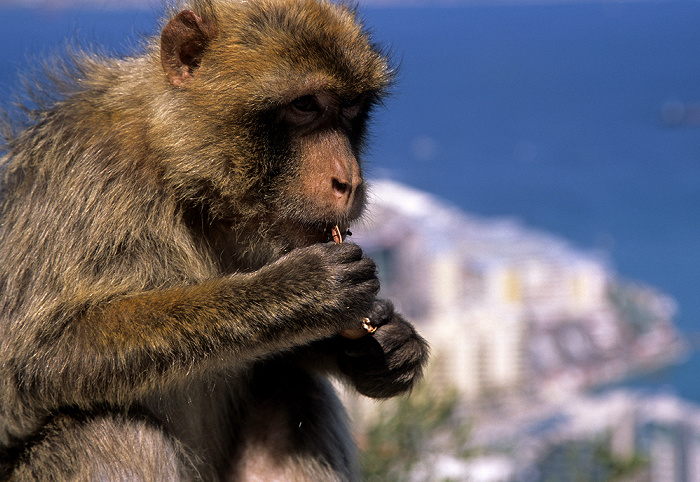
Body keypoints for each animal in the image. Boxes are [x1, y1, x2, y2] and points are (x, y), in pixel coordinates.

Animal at [0, 0, 426, 480]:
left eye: (350, 109)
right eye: (305, 105)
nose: (349, 181)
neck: (180, 174)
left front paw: (390, 343)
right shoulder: (87, 179)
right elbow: (34, 361)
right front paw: (298, 291)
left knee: (288, 389)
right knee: (108, 433)